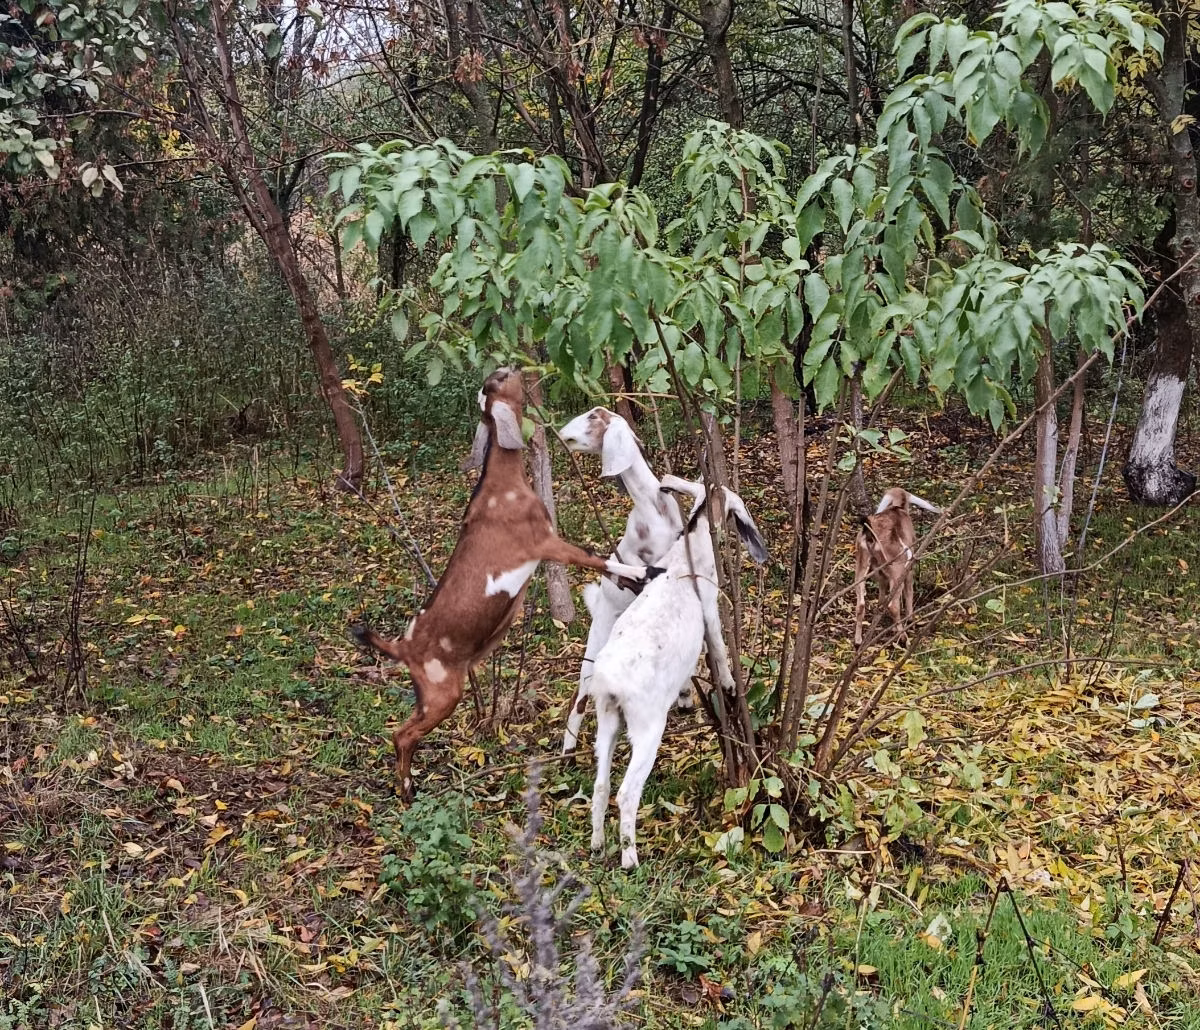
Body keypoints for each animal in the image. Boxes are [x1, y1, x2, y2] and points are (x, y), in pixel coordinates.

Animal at [352, 368, 663, 801]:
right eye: (502, 378)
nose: (520, 369)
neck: (502, 485)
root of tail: (404, 647)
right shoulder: (545, 542)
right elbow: (593, 556)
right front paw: (637, 572)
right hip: (443, 693)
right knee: (402, 735)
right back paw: (408, 789)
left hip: (427, 695)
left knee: (401, 732)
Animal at [556, 407, 689, 755]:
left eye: (593, 417)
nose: (562, 432)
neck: (653, 509)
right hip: (595, 648)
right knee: (578, 697)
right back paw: (568, 748)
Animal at [588, 475, 768, 869]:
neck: (685, 559)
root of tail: (610, 684)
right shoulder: (710, 610)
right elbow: (718, 647)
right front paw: (729, 685)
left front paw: (687, 696)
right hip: (646, 727)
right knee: (626, 792)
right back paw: (629, 857)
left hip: (607, 719)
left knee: (601, 784)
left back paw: (596, 844)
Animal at [853, 487, 942, 646]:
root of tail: (870, 536)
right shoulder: (909, 568)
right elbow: (909, 592)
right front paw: (910, 619)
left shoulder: (882, 576)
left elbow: (881, 596)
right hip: (898, 569)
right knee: (893, 606)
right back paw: (904, 638)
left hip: (861, 568)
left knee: (861, 604)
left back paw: (858, 641)